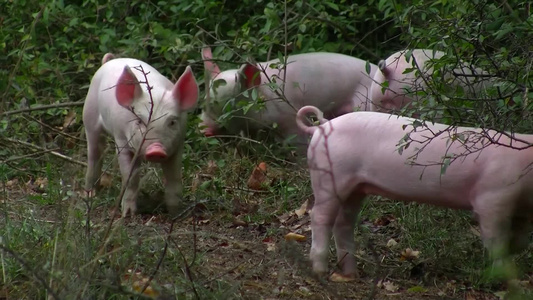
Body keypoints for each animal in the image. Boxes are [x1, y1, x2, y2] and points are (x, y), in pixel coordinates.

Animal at [82, 54, 198, 217]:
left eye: (172, 122)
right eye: (139, 120)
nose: (156, 149)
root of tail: (109, 62)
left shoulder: (178, 144)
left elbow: (174, 178)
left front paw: (176, 213)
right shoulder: (121, 141)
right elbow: (131, 178)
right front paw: (128, 215)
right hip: (89, 115)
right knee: (94, 153)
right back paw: (90, 195)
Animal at [298, 105, 528, 282]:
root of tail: (322, 125)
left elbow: (519, 240)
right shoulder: (493, 197)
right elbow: (496, 240)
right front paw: (503, 278)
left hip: (356, 187)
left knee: (343, 222)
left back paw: (351, 274)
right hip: (330, 178)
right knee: (319, 216)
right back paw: (320, 272)